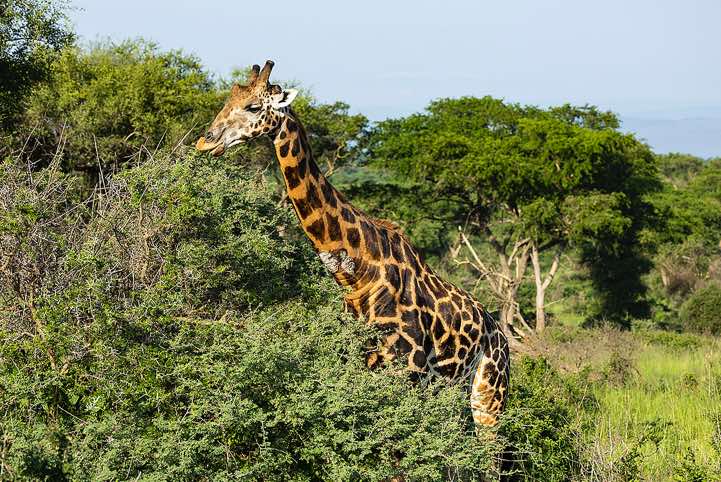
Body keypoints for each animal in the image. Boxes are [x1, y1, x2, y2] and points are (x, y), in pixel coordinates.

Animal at [196, 61, 510, 427]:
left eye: (254, 107)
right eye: (228, 100)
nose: (206, 141)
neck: (357, 275)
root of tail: (502, 337)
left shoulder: (409, 370)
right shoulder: (361, 364)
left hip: (489, 397)